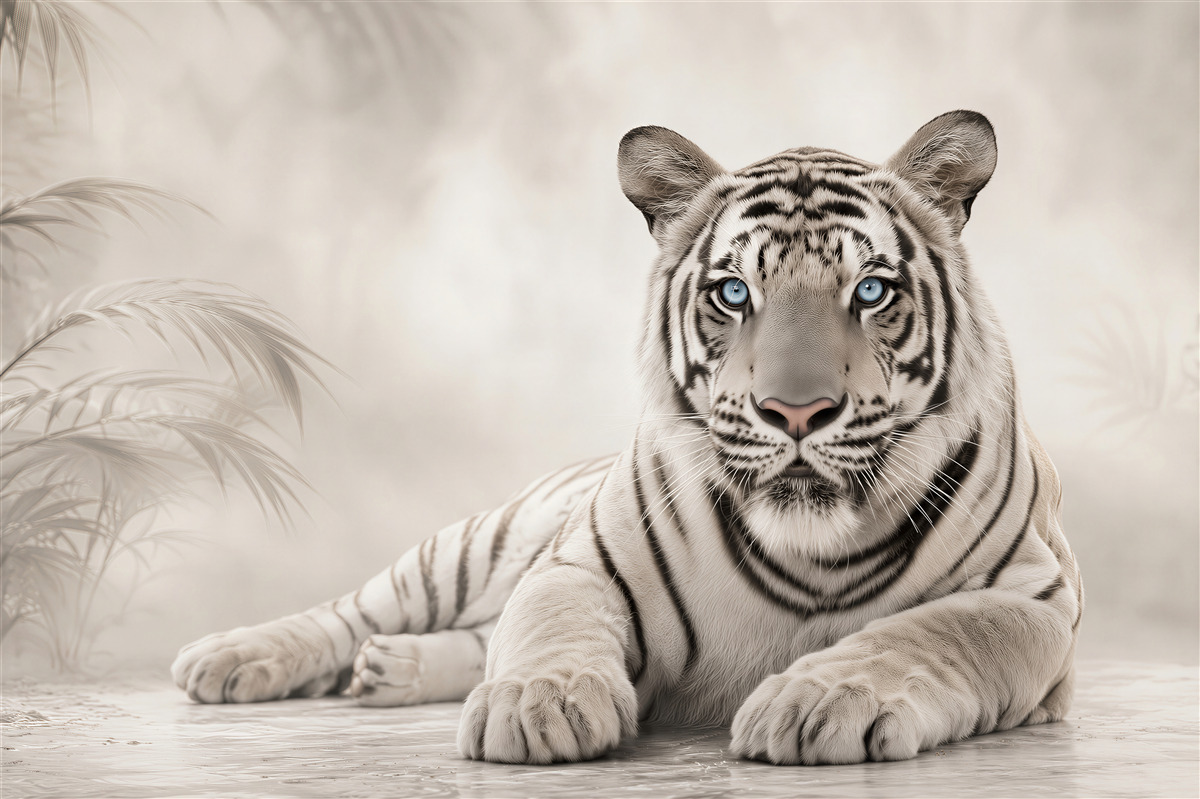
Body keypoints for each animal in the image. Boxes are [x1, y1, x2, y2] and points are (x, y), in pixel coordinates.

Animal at [172, 110, 1083, 766]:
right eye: (732, 292)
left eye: (870, 290)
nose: (795, 413)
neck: (811, 547)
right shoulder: (580, 561)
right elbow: (549, 624)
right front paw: (537, 703)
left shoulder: (1030, 598)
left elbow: (928, 632)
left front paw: (819, 699)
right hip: (470, 548)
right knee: (356, 608)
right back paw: (230, 655)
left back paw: (387, 668)